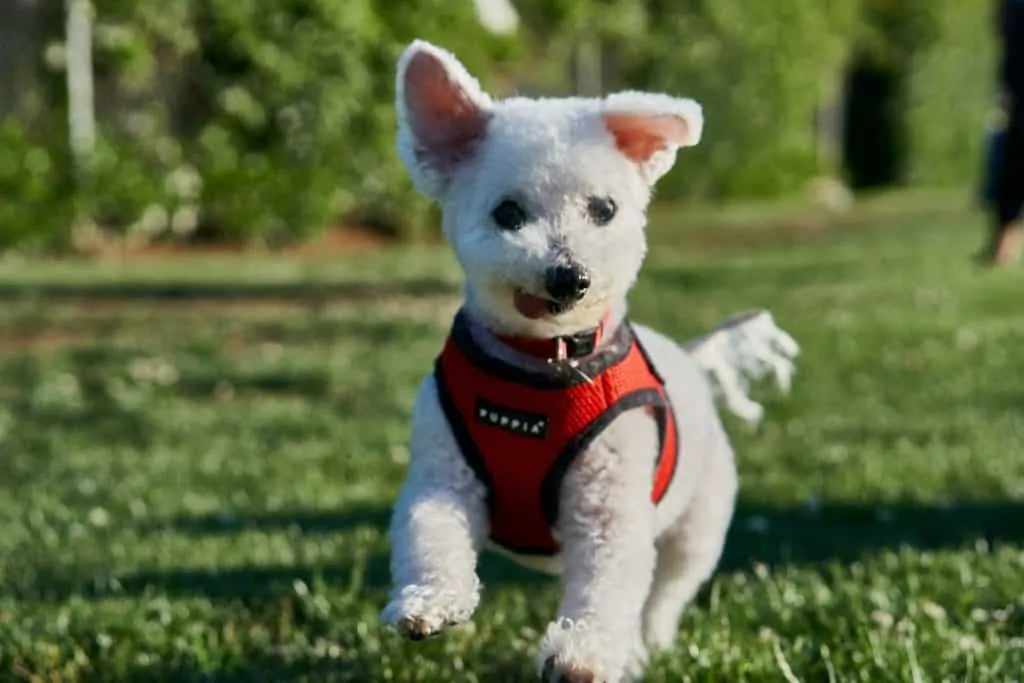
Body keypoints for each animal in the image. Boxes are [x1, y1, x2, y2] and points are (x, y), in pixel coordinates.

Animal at [385, 38, 798, 683]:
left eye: (604, 209)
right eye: (508, 213)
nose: (568, 274)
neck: (546, 366)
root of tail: (689, 356)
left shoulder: (610, 504)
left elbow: (608, 583)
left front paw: (582, 653)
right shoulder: (442, 473)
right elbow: (433, 532)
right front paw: (430, 600)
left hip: (697, 527)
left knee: (665, 593)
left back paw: (642, 647)